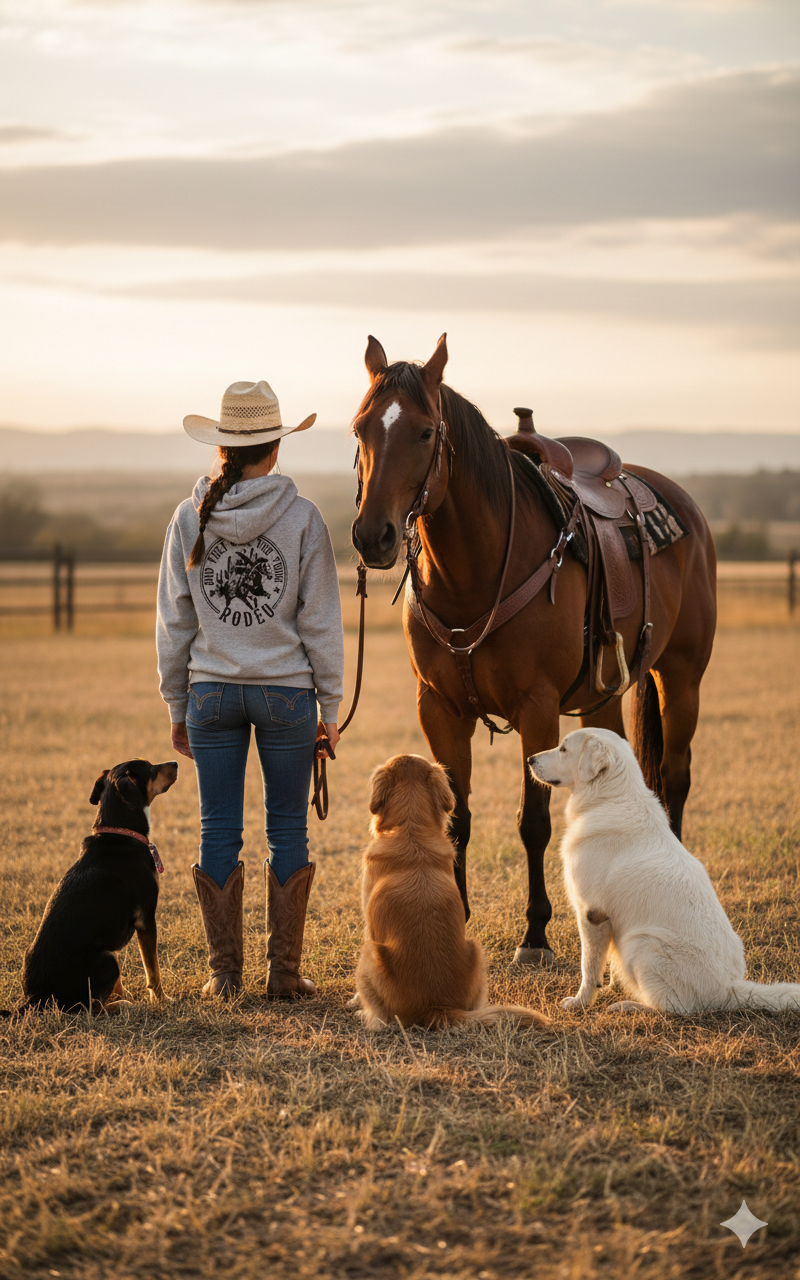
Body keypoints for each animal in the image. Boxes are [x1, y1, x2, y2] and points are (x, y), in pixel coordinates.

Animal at [351, 334, 717, 966]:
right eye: (359, 429)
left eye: (423, 431)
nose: (373, 535)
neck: (474, 574)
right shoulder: (439, 709)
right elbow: (457, 818)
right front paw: (456, 916)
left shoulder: (538, 708)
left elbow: (534, 823)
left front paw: (537, 934)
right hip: (603, 698)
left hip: (682, 677)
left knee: (675, 776)